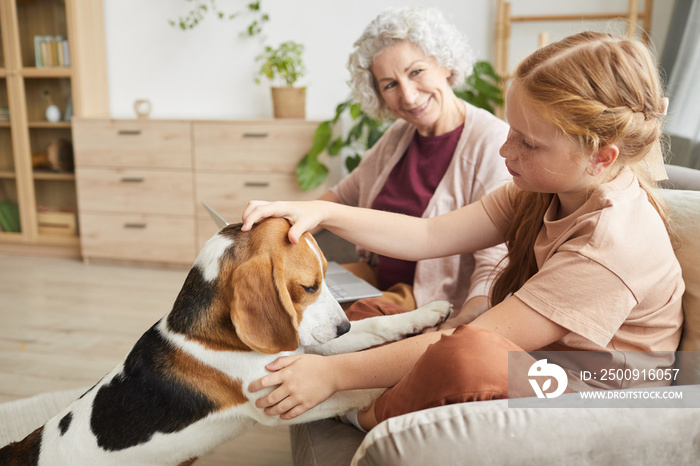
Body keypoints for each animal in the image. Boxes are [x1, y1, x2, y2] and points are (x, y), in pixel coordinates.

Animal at [0, 219, 448, 466]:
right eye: (308, 286)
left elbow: (377, 329)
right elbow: (357, 388)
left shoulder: (302, 351)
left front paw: (428, 314)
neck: (214, 334)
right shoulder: (280, 403)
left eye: (326, 276)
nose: (342, 328)